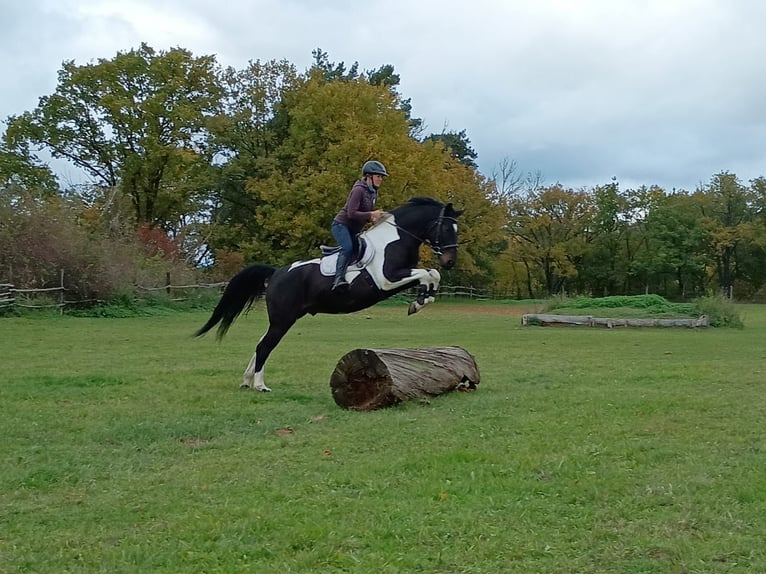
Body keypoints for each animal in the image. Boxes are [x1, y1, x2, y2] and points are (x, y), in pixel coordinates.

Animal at [195, 197, 462, 392]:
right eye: (446, 228)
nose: (450, 261)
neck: (395, 240)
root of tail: (277, 272)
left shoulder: (399, 280)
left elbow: (431, 274)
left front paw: (421, 300)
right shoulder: (387, 280)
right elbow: (429, 272)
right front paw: (419, 302)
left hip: (285, 318)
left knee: (261, 342)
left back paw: (247, 380)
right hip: (283, 319)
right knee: (265, 346)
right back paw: (260, 386)